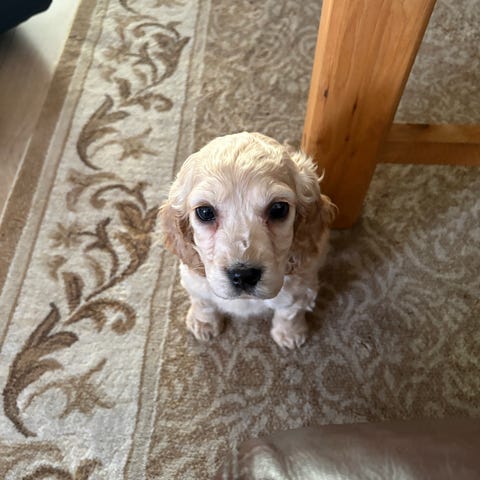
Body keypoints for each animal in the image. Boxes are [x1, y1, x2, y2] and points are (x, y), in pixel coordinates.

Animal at [159, 132, 336, 348]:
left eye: (279, 209)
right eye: (205, 212)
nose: (243, 275)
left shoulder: (300, 288)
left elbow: (290, 313)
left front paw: (290, 334)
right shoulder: (194, 278)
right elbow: (203, 301)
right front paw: (203, 324)